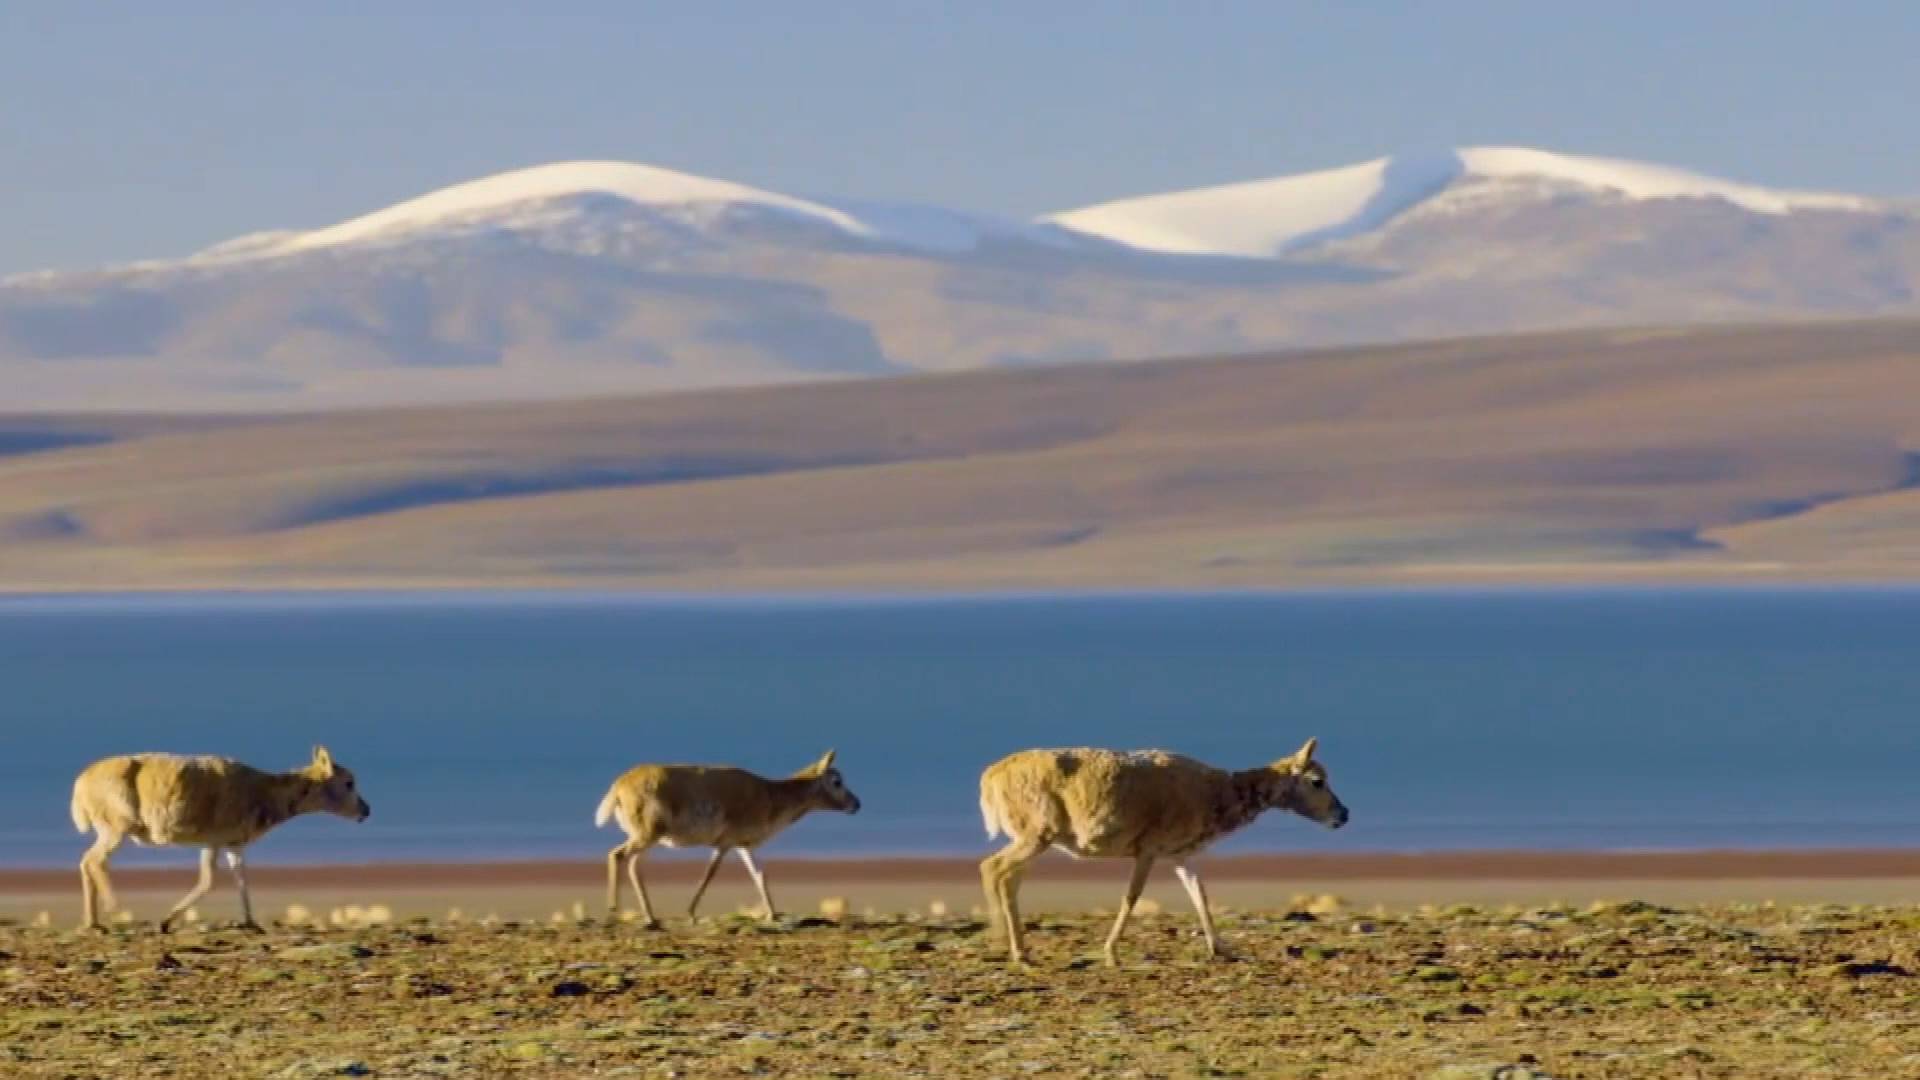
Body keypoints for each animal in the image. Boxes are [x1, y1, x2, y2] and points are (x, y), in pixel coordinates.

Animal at [71, 745, 372, 930]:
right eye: (349, 782)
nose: (366, 811)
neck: (264, 791)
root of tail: (81, 783)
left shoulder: (231, 844)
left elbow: (241, 878)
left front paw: (250, 923)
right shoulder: (214, 842)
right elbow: (209, 881)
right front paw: (165, 922)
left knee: (86, 862)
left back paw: (93, 923)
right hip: (116, 829)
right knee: (94, 861)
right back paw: (114, 910)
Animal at [591, 749, 864, 926]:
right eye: (837, 781)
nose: (857, 804)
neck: (769, 794)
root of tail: (620, 785)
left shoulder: (744, 847)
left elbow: (759, 876)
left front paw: (773, 914)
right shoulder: (725, 845)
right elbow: (709, 874)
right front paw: (691, 913)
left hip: (649, 839)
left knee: (632, 864)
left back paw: (650, 916)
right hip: (646, 836)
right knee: (618, 855)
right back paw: (616, 911)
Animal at [983, 734, 1344, 960]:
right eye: (1317, 781)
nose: (1344, 814)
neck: (1217, 793)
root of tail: (991, 776)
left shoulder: (1179, 855)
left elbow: (1199, 892)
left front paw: (1222, 948)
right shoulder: (1149, 850)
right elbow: (1132, 897)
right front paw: (1111, 951)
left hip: (1033, 841)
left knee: (1008, 877)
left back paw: (1019, 948)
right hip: (1035, 836)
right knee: (993, 868)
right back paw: (1008, 945)